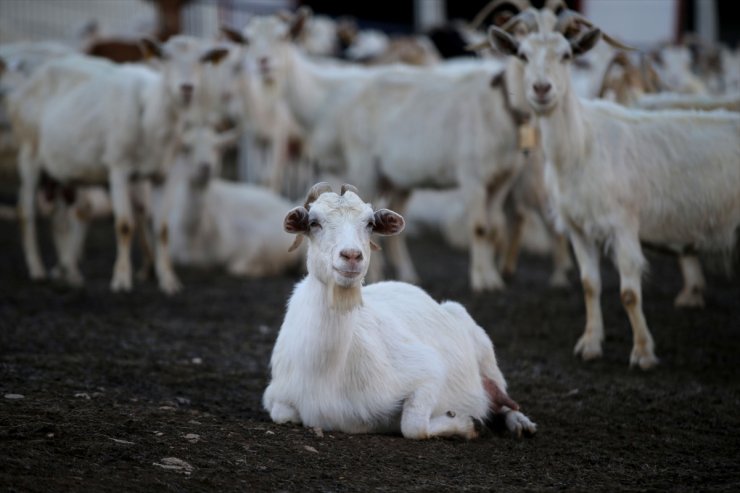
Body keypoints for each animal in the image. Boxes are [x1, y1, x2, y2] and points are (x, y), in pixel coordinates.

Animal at [264, 184, 536, 438]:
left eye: (370, 223)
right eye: (314, 222)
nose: (352, 256)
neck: (327, 370)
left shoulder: (428, 371)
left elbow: (413, 426)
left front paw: (469, 423)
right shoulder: (275, 395)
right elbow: (283, 414)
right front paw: (469, 422)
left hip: (485, 350)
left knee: (505, 399)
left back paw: (521, 423)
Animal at [492, 9, 740, 368]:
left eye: (566, 55)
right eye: (522, 55)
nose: (541, 88)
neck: (583, 145)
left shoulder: (623, 224)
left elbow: (629, 293)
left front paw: (643, 353)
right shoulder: (578, 228)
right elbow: (589, 285)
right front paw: (590, 345)